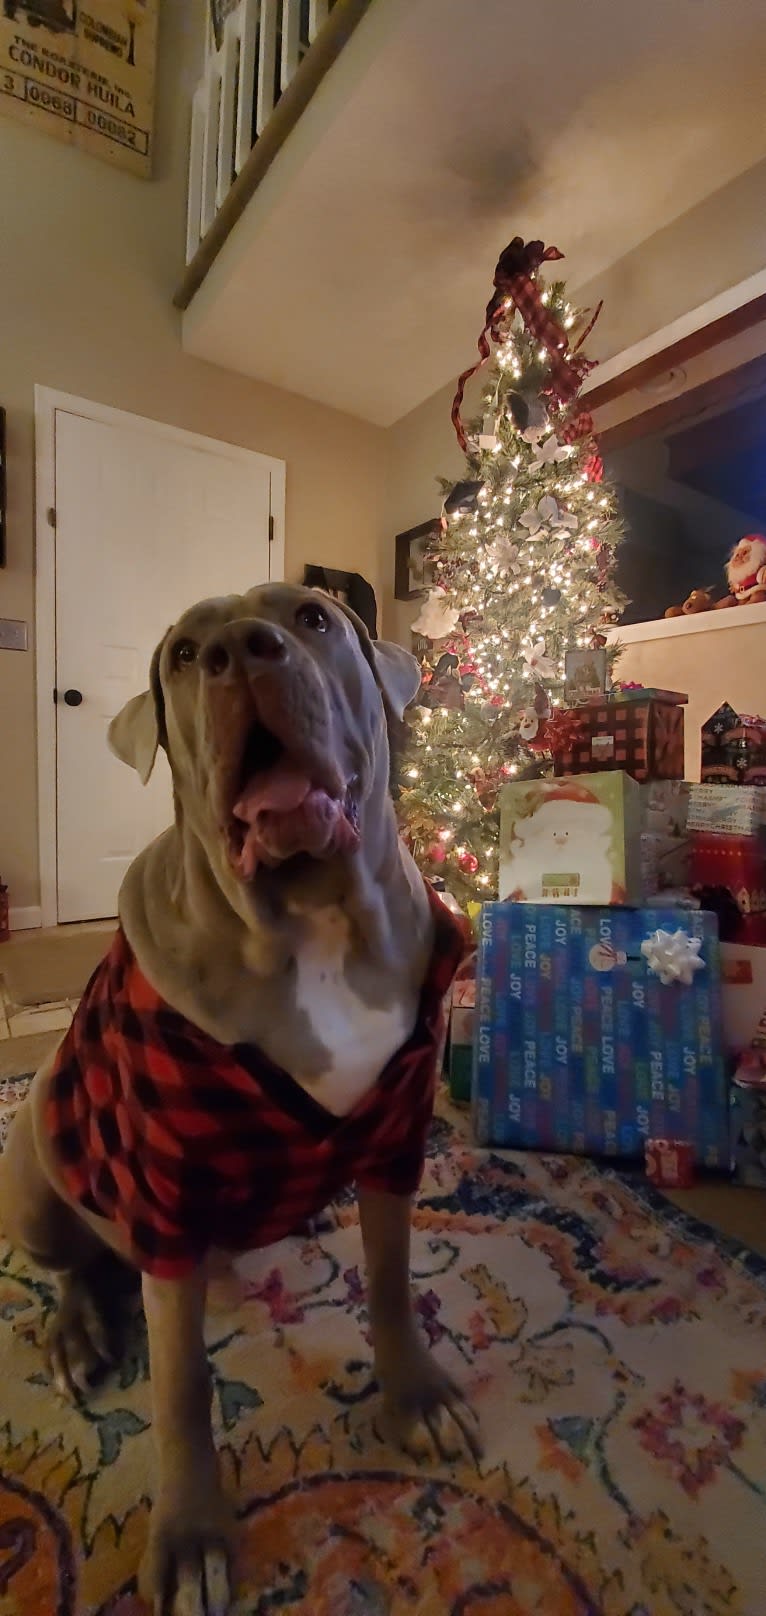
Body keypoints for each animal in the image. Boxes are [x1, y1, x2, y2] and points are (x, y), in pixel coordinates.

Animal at [1, 588, 478, 1616]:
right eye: (184, 654)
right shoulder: (168, 1194)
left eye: (314, 618)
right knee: (73, 1265)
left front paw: (416, 1398)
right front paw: (190, 1538)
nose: (239, 651)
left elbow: (391, 1280)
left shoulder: (396, 1138)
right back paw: (75, 1334)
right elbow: (181, 1387)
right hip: (34, 1148)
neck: (315, 921)